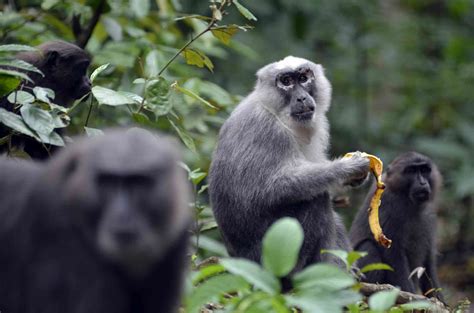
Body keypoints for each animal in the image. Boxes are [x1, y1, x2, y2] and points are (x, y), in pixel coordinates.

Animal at [210, 54, 370, 270]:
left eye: (303, 78)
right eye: (286, 81)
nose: (301, 97)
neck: (278, 114)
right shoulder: (266, 130)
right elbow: (272, 189)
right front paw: (347, 169)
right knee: (315, 199)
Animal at [348, 151, 444, 300]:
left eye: (424, 170)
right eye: (411, 171)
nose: (423, 182)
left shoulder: (429, 215)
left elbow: (428, 263)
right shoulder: (390, 205)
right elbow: (393, 257)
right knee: (368, 247)